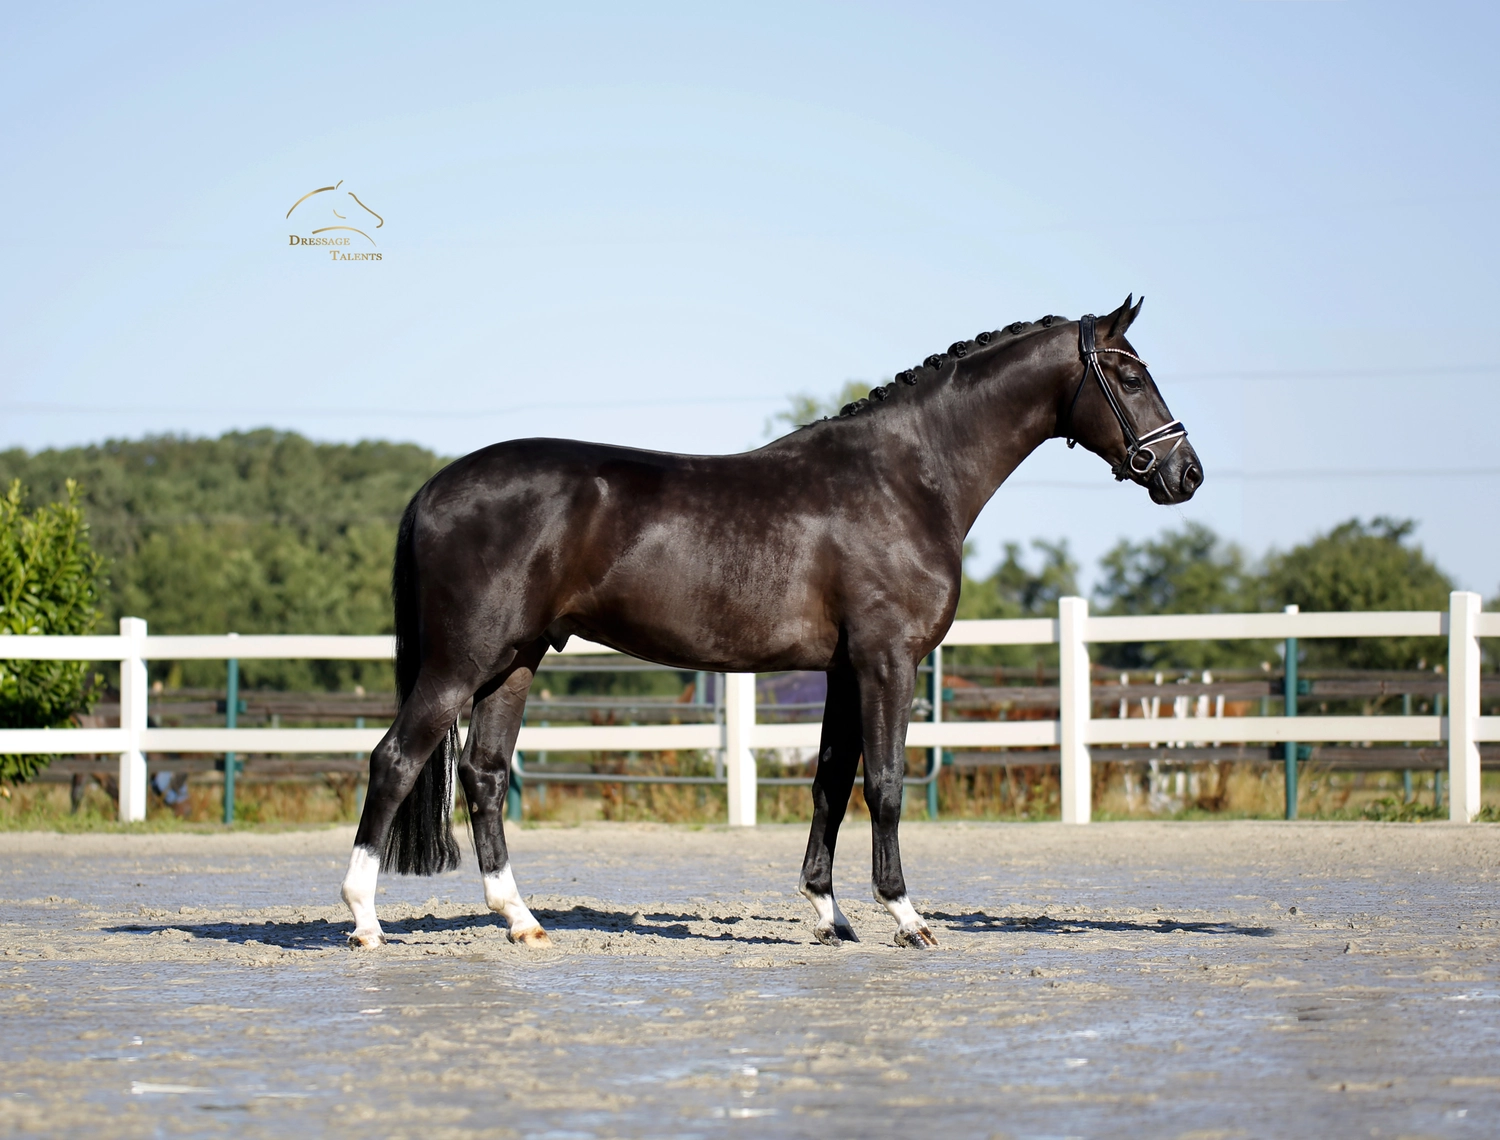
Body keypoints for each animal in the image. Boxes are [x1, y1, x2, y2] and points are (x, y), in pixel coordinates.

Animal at [340, 296, 1202, 949]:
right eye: (1130, 374)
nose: (1184, 472)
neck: (904, 479)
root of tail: (437, 485)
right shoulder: (888, 660)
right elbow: (885, 783)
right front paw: (907, 918)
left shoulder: (844, 670)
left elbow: (830, 783)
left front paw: (828, 913)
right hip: (461, 662)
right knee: (394, 761)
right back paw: (365, 922)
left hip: (515, 663)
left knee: (483, 775)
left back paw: (521, 921)